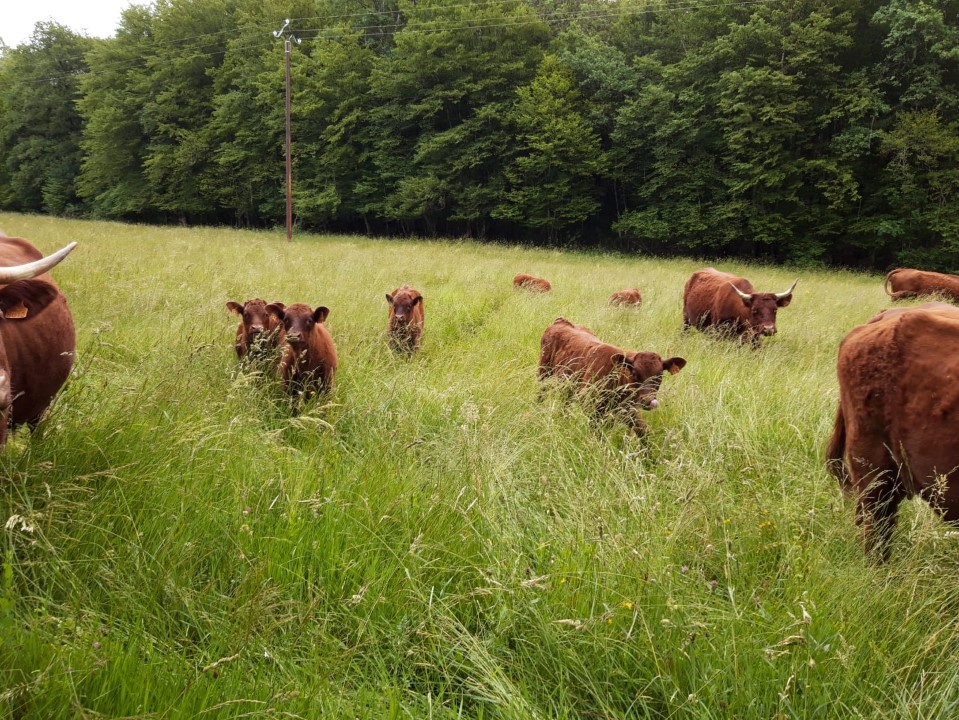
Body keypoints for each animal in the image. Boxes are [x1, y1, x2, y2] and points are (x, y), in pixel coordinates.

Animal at [540, 318, 684, 436]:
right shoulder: (592, 408)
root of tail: (562, 321)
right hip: (543, 373)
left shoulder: (628, 410)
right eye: (634, 373)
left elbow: (644, 433)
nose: (648, 401)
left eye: (659, 375)